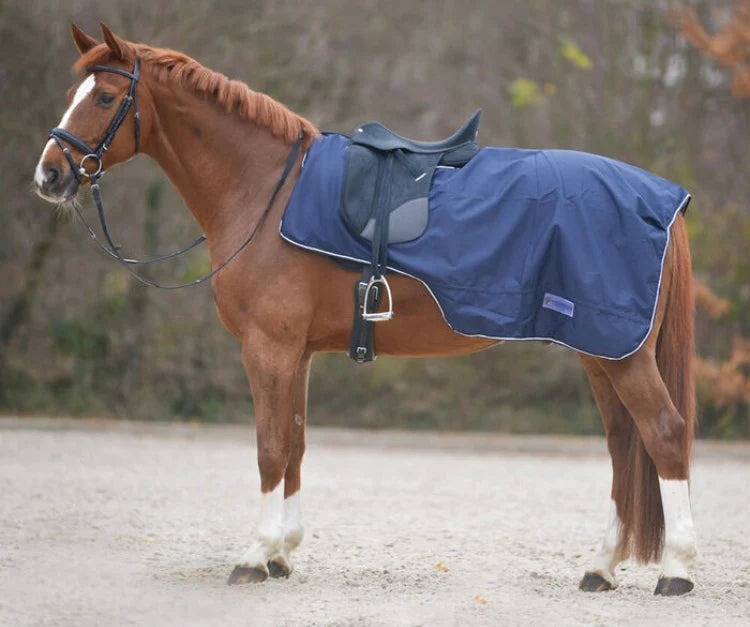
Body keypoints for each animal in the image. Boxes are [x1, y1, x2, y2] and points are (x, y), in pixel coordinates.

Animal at [34, 24, 697, 595]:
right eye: (73, 94)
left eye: (106, 96)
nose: (48, 175)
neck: (265, 190)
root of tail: (661, 199)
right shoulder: (296, 353)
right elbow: (295, 443)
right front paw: (282, 554)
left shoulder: (268, 348)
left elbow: (269, 446)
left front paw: (254, 555)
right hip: (598, 351)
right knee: (623, 445)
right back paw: (601, 566)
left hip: (621, 354)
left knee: (663, 435)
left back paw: (677, 570)